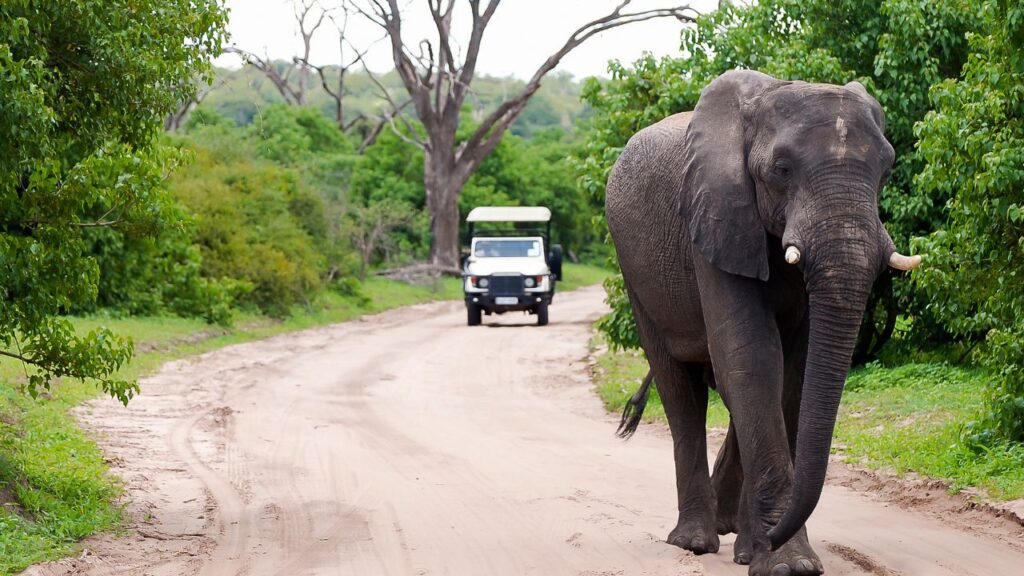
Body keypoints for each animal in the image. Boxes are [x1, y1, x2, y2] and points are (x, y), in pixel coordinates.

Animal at [604, 70, 921, 576]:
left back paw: (732, 532)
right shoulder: (714, 215)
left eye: (887, 171)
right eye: (781, 169)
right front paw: (785, 564)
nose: (773, 535)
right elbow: (752, 358)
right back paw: (695, 542)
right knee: (681, 391)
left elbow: (794, 372)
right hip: (633, 271)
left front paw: (768, 554)